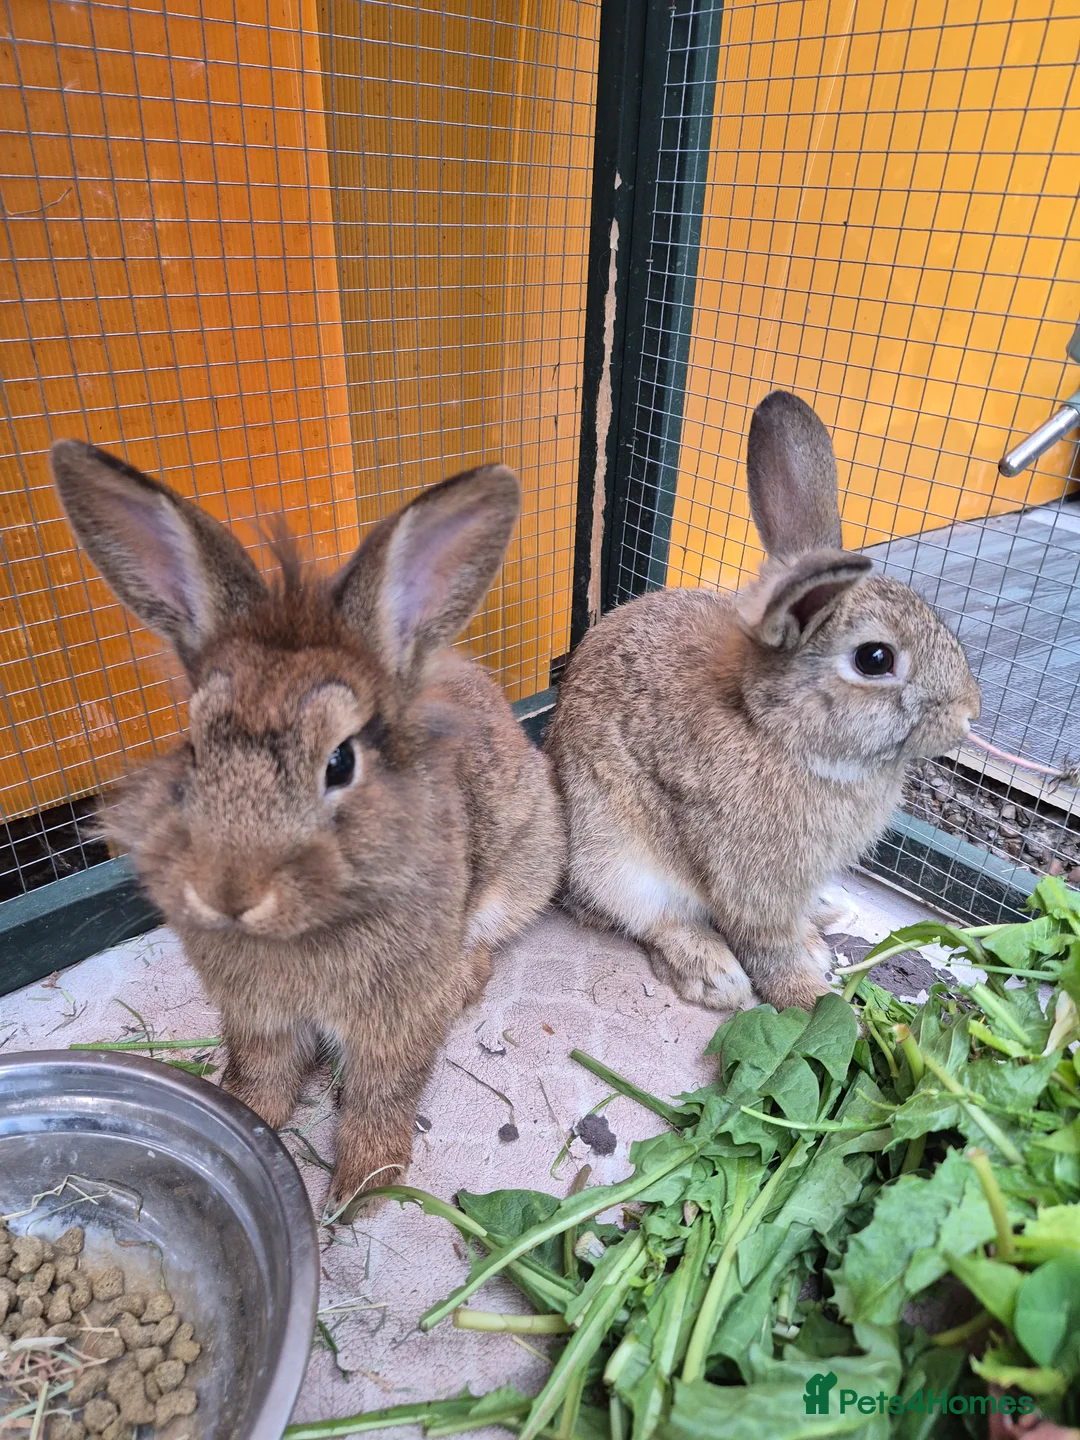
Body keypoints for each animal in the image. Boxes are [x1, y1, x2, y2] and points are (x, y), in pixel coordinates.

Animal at [49, 440, 565, 1205]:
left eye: (340, 762)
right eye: (194, 747)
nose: (229, 893)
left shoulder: (393, 1021)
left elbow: (382, 1094)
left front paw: (359, 1189)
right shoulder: (257, 1018)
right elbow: (261, 1074)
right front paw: (246, 1118)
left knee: (476, 960)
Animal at [545, 390, 980, 1013]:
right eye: (875, 659)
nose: (969, 715)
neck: (773, 729)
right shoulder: (751, 881)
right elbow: (767, 945)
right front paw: (811, 998)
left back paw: (825, 917)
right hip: (615, 860)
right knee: (650, 921)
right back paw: (715, 974)